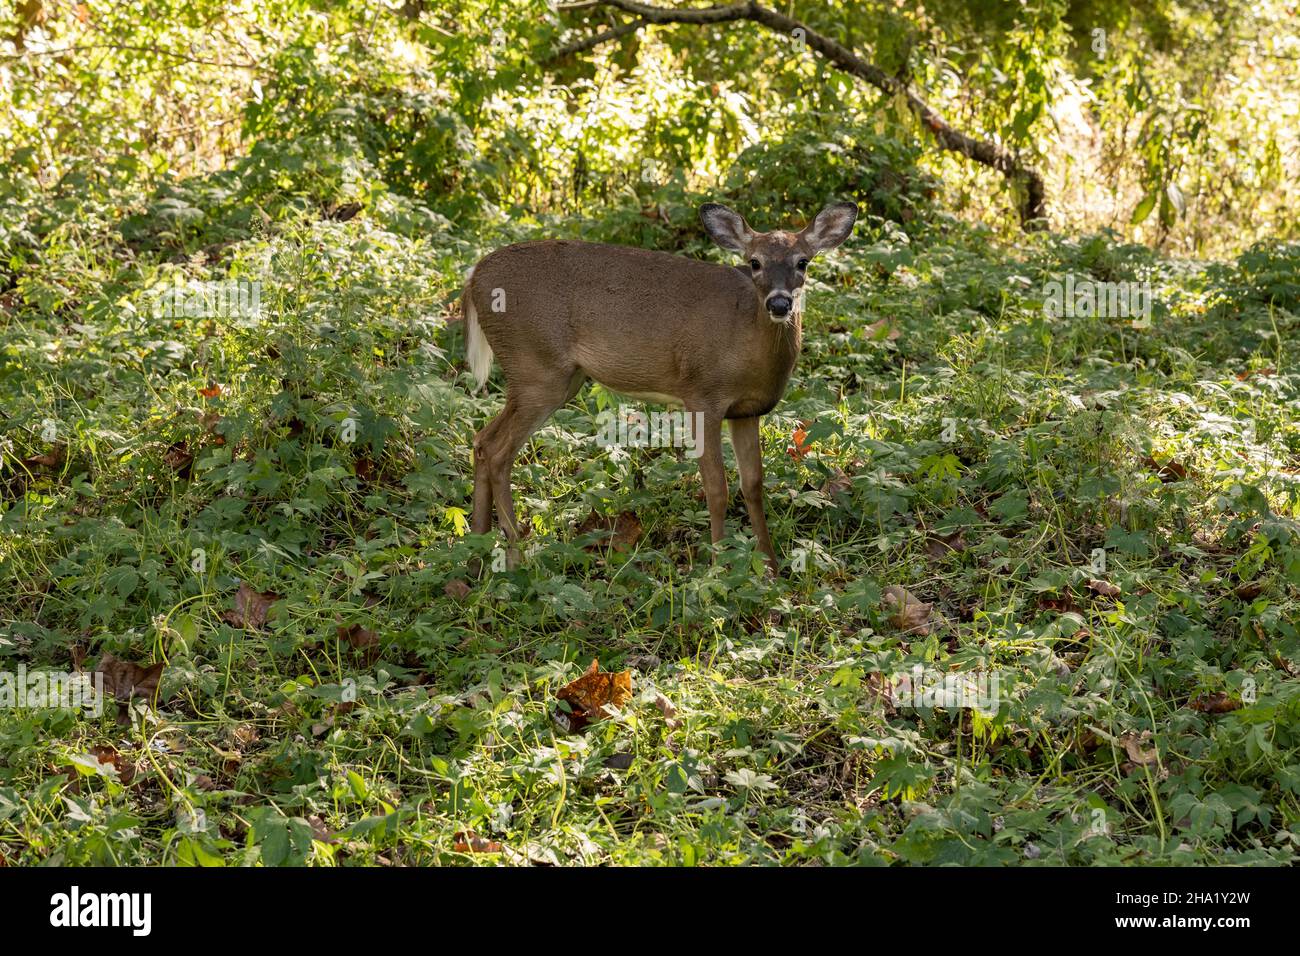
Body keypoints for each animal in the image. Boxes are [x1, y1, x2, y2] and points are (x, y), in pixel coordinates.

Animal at [461, 201, 858, 574]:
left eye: (802, 261)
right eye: (755, 262)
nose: (779, 303)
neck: (746, 344)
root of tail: (473, 277)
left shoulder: (747, 411)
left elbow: (754, 485)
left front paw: (771, 569)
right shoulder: (702, 394)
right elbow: (717, 487)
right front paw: (719, 568)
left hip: (555, 376)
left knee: (482, 440)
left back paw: (476, 548)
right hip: (536, 367)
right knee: (497, 449)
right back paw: (516, 554)